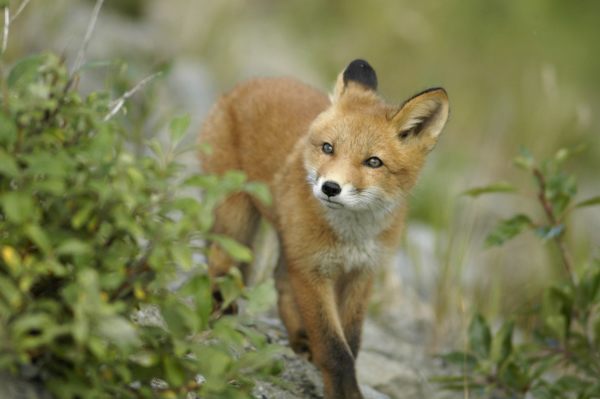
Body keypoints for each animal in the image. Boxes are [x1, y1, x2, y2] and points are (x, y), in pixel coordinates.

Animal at [199, 60, 448, 399]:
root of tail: (250, 83)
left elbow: (351, 343)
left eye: (373, 162)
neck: (352, 236)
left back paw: (300, 339)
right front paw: (345, 392)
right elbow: (334, 348)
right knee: (220, 264)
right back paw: (221, 313)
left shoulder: (362, 274)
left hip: (287, 240)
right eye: (328, 148)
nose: (330, 188)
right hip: (237, 220)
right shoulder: (312, 270)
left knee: (281, 284)